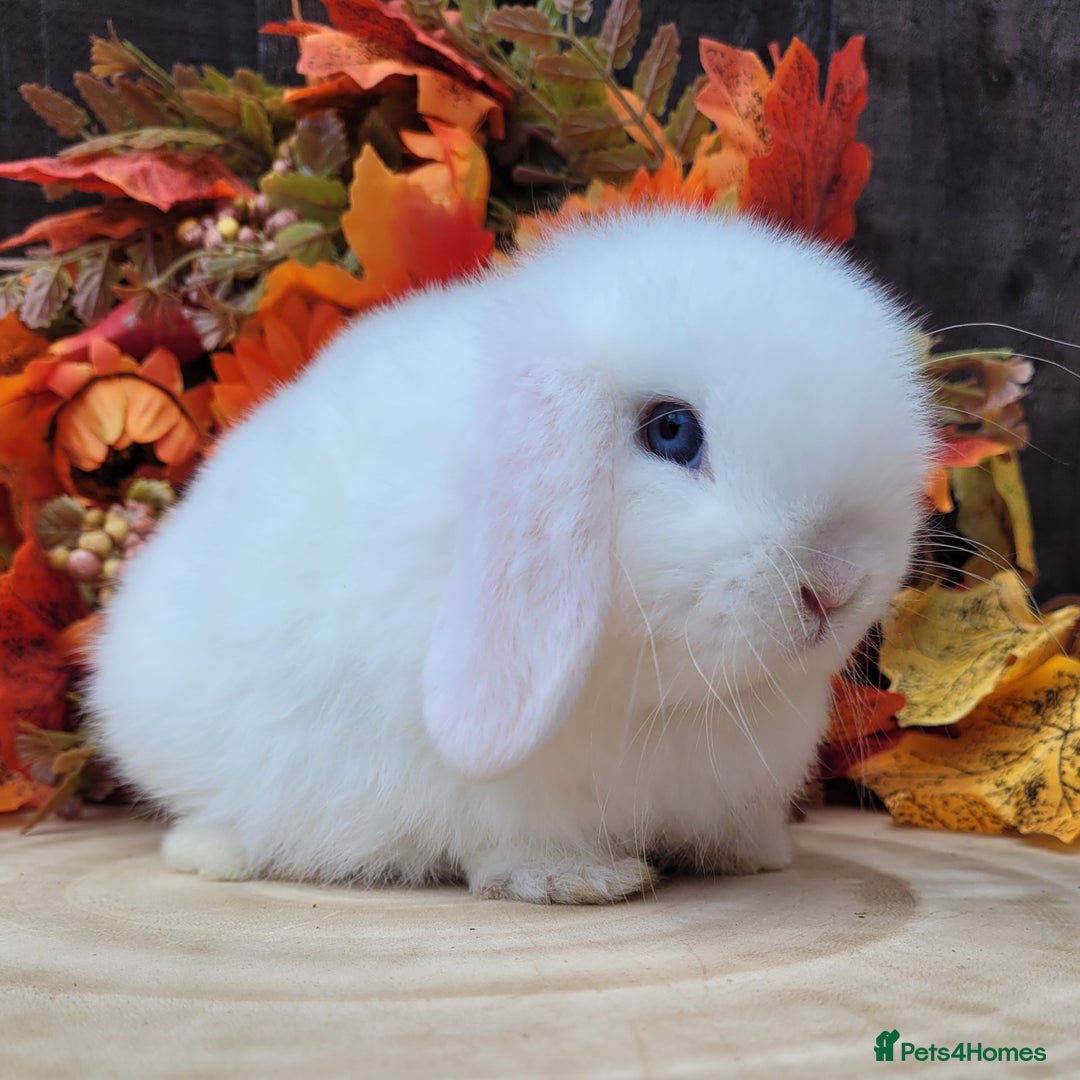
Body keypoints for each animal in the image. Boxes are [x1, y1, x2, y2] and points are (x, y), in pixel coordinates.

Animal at [87, 208, 934, 904]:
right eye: (672, 431)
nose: (836, 583)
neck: (666, 701)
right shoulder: (505, 790)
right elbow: (520, 841)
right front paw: (581, 880)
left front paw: (757, 855)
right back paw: (216, 852)